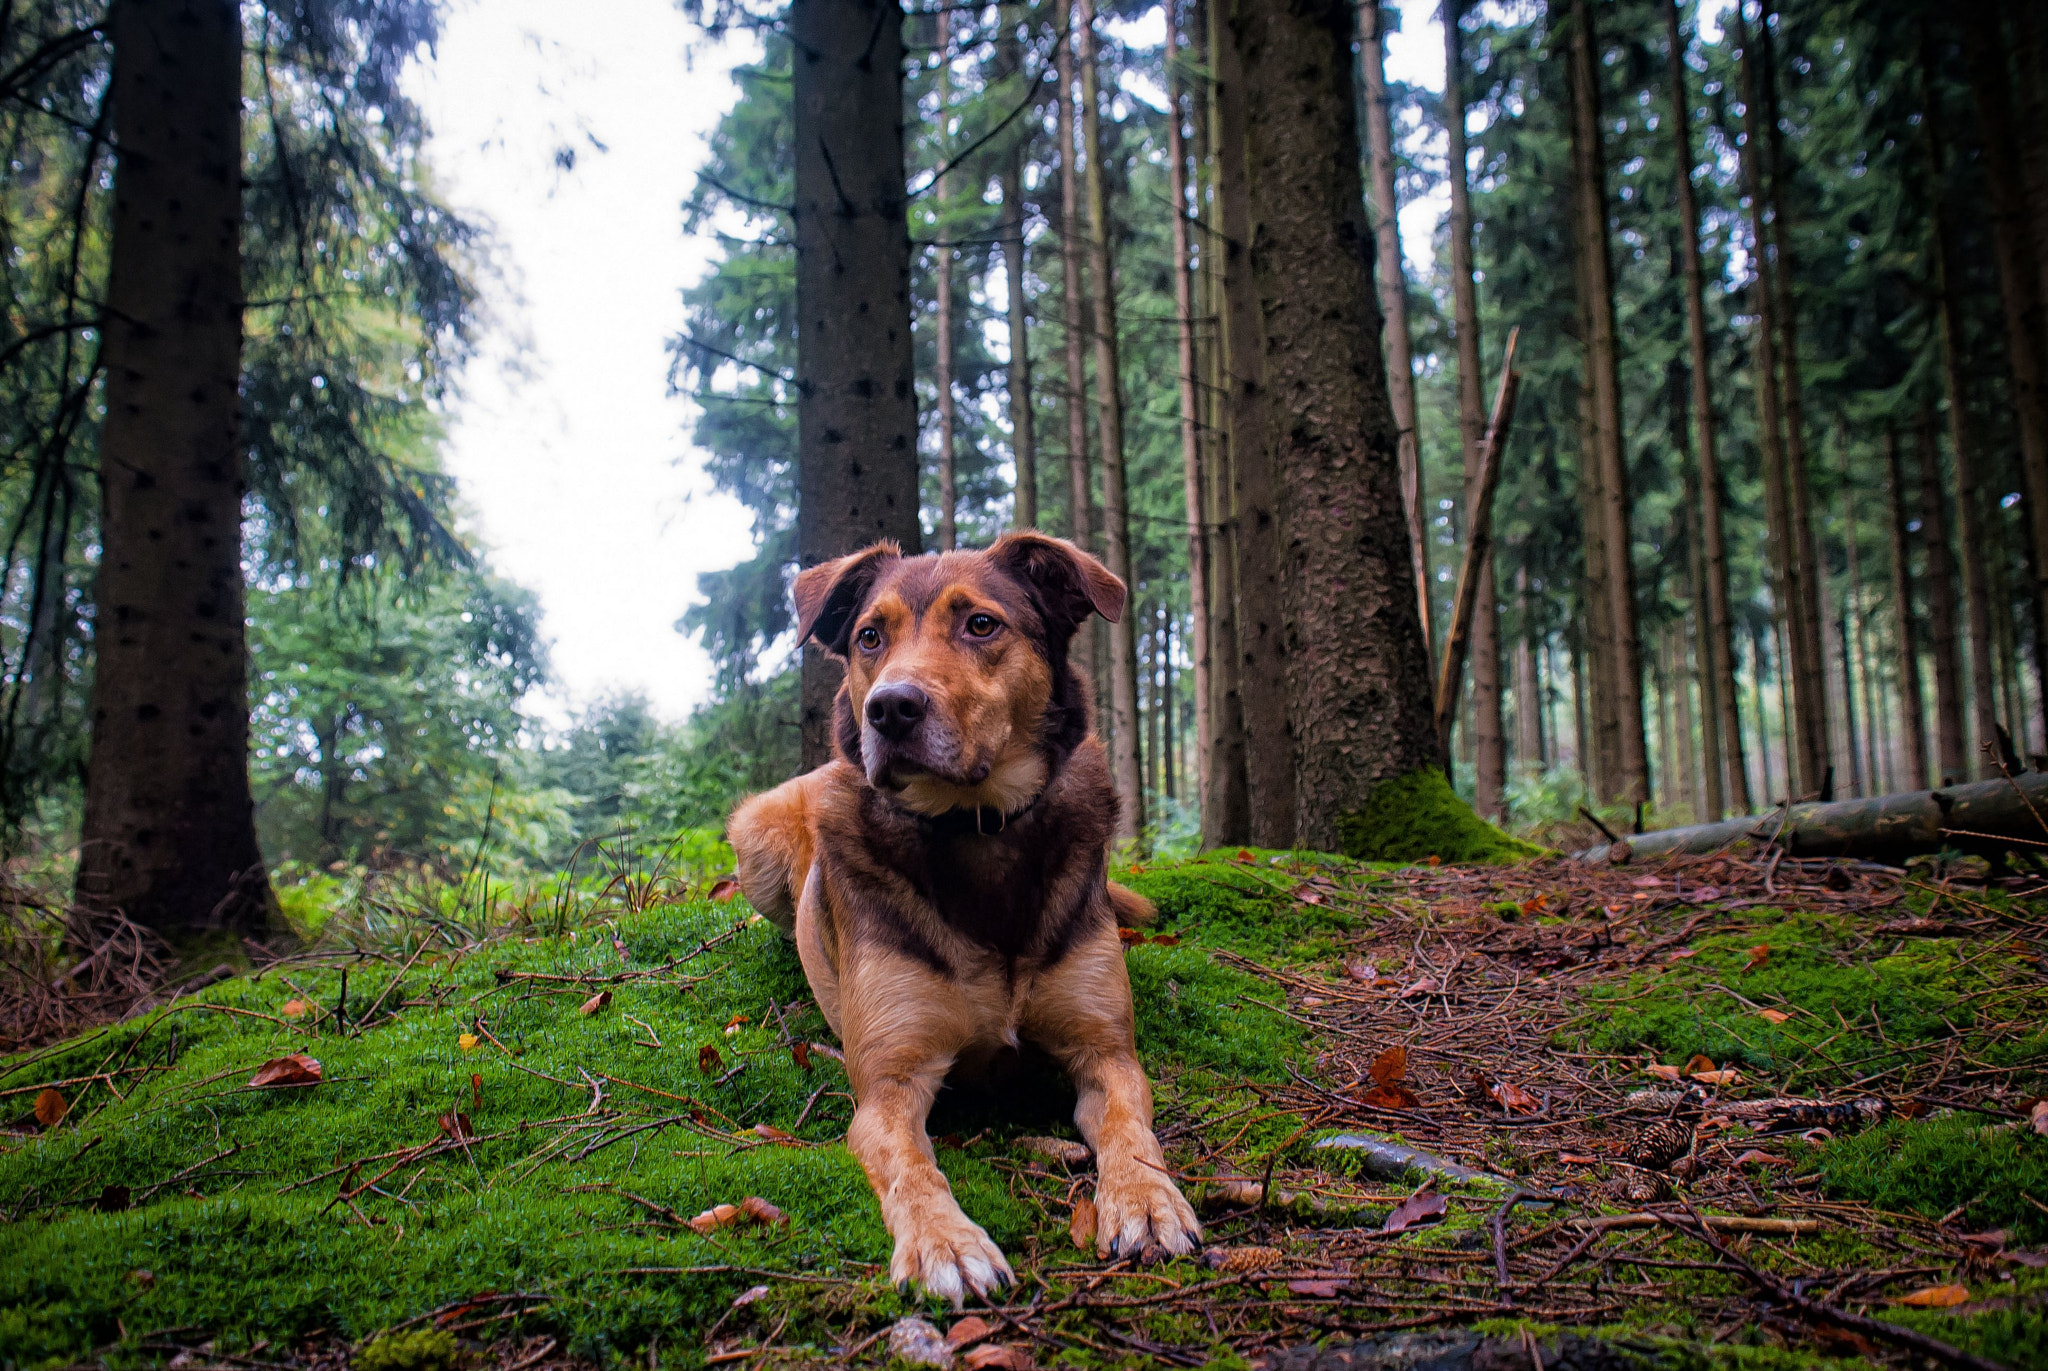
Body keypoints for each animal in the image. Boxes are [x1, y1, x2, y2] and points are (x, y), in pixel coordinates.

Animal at [729, 528, 1196, 1303]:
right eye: (869, 636)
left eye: (981, 624)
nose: (889, 708)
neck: (974, 826)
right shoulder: (888, 1085)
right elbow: (912, 1167)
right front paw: (944, 1242)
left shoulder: (1107, 1053)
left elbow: (1132, 1131)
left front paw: (1147, 1201)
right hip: (755, 834)